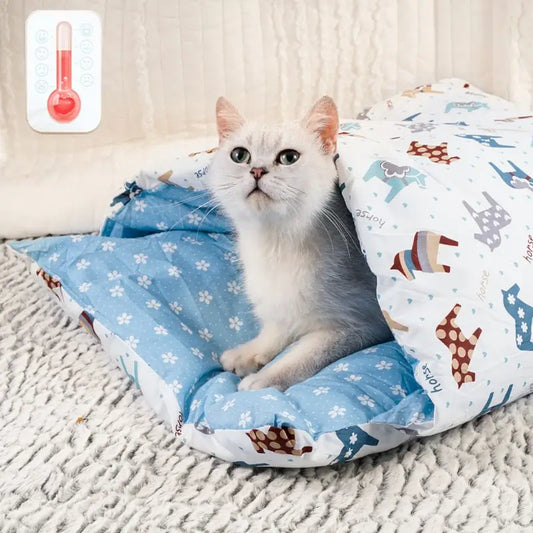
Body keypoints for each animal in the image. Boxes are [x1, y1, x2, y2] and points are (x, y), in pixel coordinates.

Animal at [208, 95, 390, 388]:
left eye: (289, 157)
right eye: (240, 155)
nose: (257, 170)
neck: (275, 245)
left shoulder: (361, 324)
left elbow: (300, 358)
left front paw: (262, 381)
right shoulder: (283, 305)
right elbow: (276, 329)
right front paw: (249, 352)